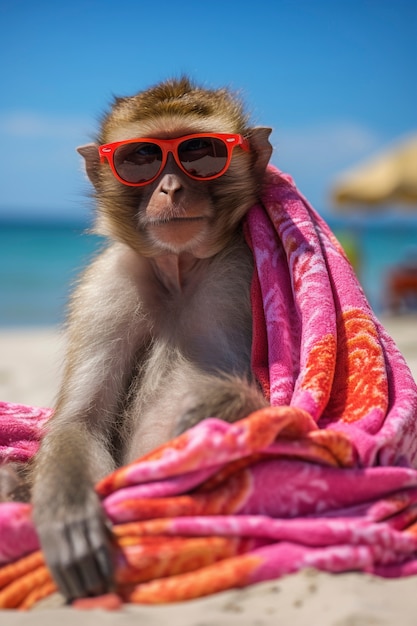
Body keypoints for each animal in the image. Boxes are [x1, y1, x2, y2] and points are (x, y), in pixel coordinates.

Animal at [2, 75, 272, 596]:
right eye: (140, 158)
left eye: (200, 151)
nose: (170, 186)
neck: (179, 270)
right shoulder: (106, 285)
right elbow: (81, 421)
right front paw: (69, 517)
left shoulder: (246, 268)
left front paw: (215, 410)